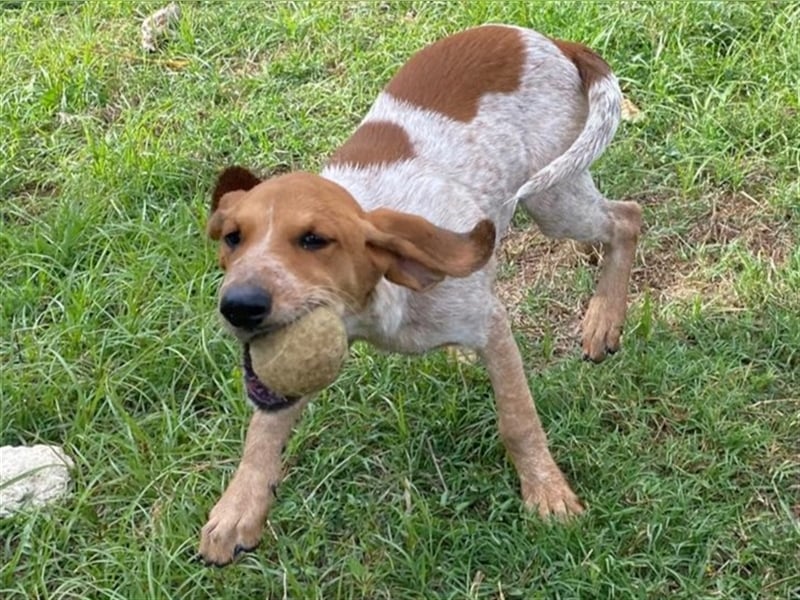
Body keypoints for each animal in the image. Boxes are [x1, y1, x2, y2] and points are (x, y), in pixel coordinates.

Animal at [198, 24, 644, 568]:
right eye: (232, 238)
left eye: (314, 240)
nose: (239, 306)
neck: (378, 304)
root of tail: (548, 40)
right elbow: (262, 432)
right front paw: (238, 508)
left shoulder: (489, 325)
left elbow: (517, 420)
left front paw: (547, 492)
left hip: (551, 197)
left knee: (627, 218)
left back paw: (604, 317)